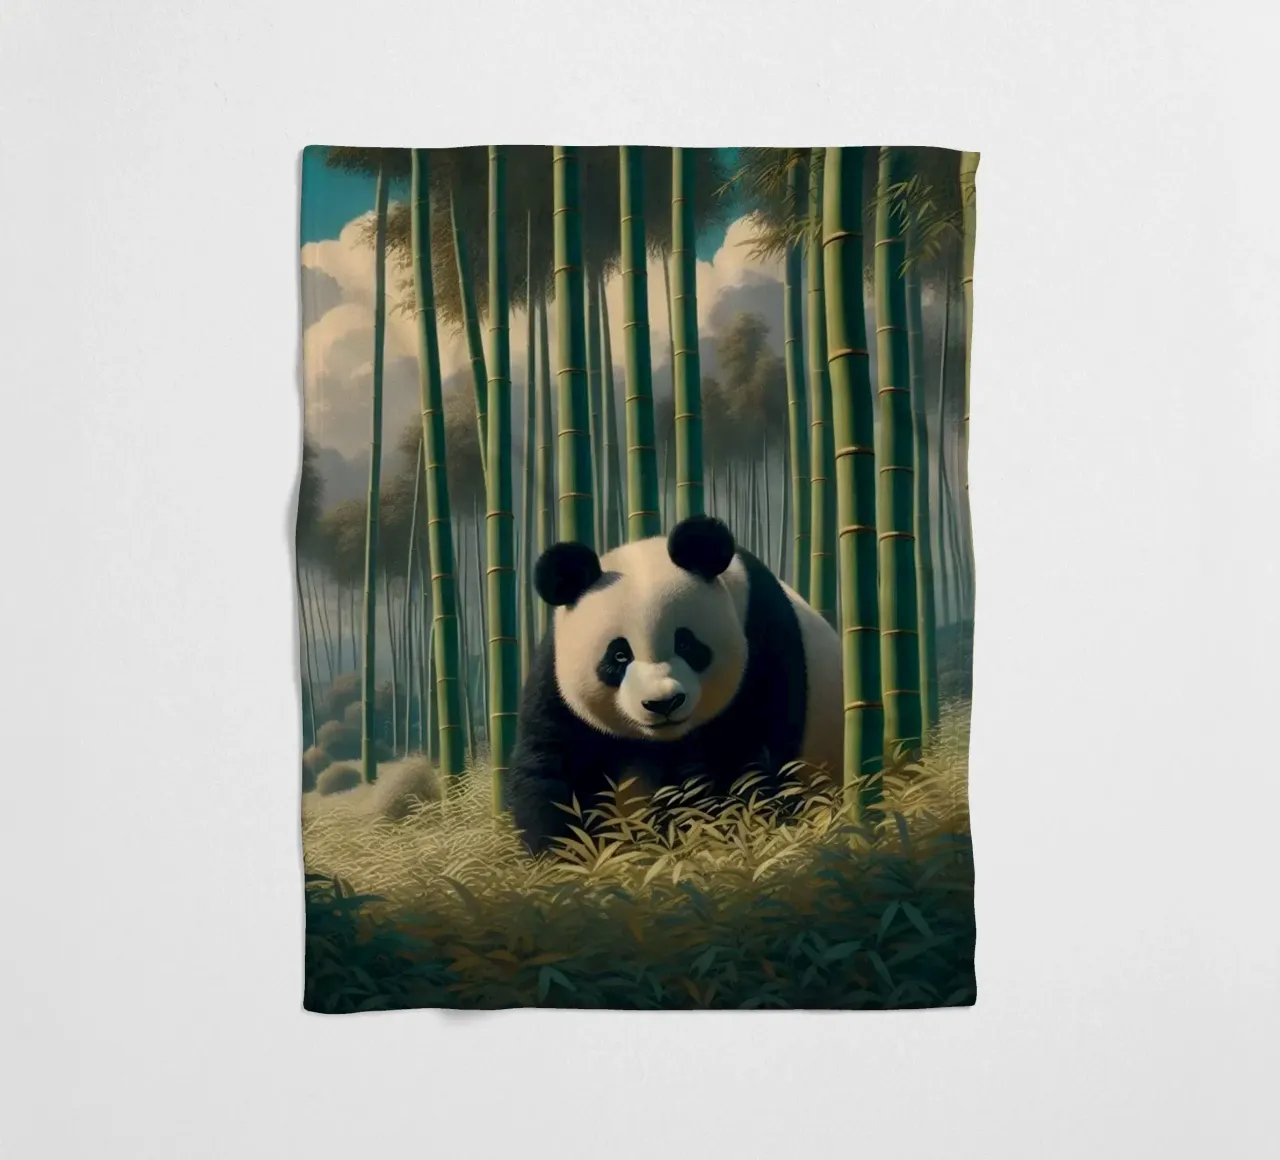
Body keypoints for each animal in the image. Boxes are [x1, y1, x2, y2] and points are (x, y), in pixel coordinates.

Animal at [507, 514, 843, 854]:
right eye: (619, 655)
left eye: (686, 644)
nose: (663, 703)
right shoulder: (557, 678)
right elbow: (554, 762)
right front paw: (567, 853)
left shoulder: (763, 642)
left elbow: (747, 755)